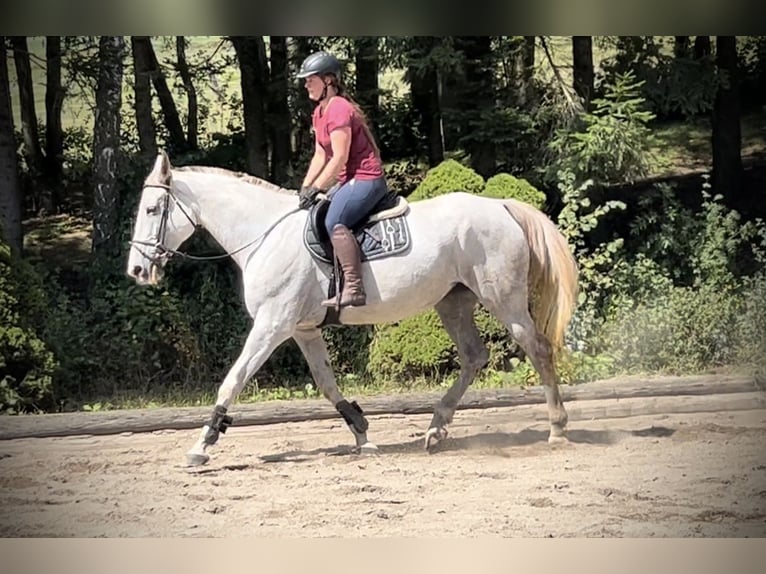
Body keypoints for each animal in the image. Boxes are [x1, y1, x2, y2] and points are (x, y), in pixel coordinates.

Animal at [127, 152, 584, 468]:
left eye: (152, 210)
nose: (137, 270)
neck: (263, 234)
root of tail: (501, 205)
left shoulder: (272, 325)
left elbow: (232, 381)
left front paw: (201, 445)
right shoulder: (303, 329)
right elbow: (327, 384)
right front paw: (364, 436)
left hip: (502, 298)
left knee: (537, 349)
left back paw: (557, 428)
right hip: (453, 301)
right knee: (474, 356)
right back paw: (436, 429)